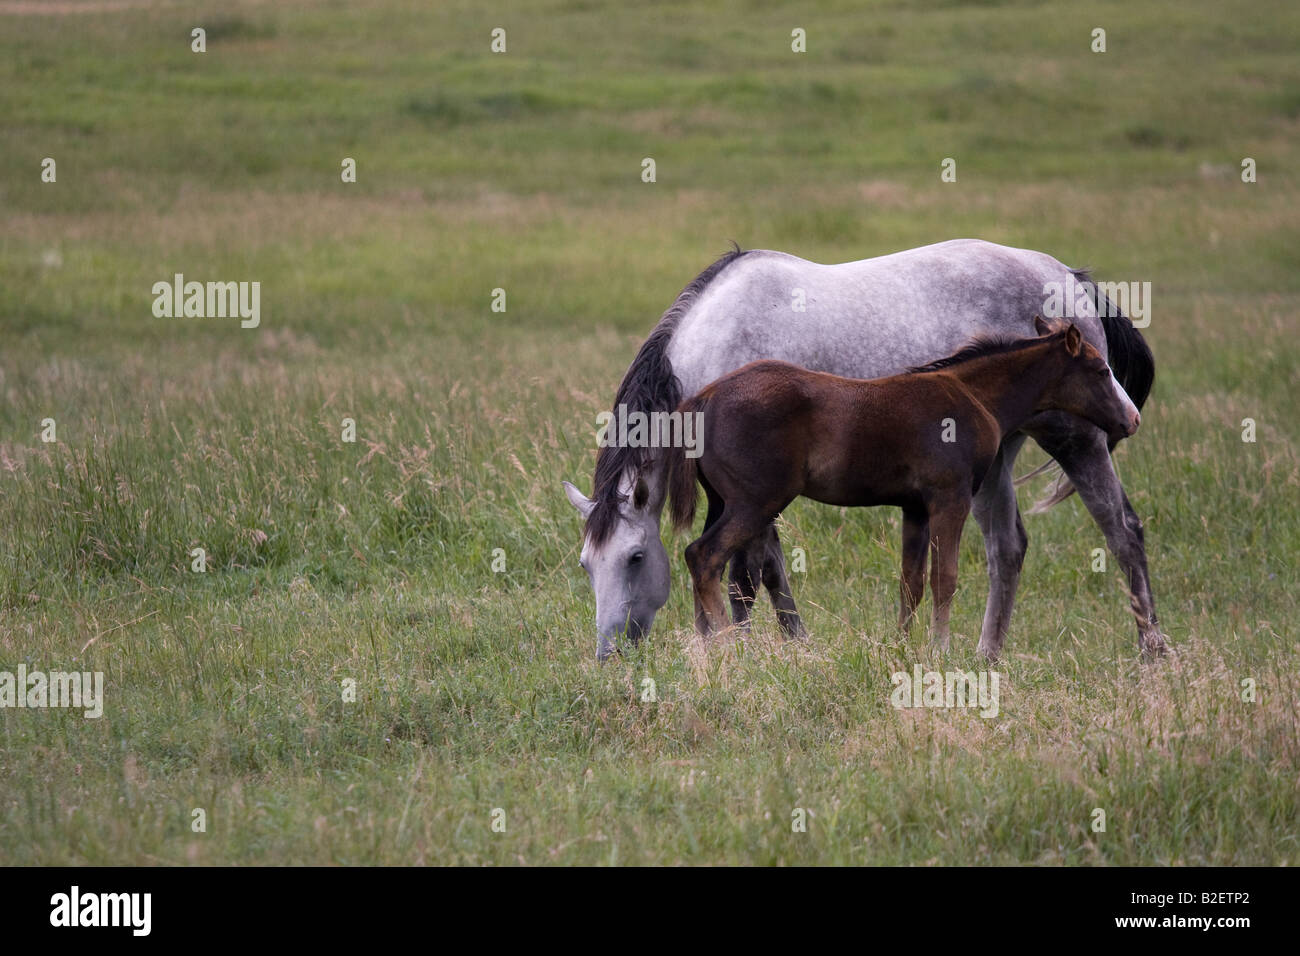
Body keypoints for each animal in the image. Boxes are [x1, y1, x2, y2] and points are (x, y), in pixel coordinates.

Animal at [663, 319, 1141, 654]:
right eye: (1101, 370)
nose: (1132, 420)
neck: (973, 396)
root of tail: (703, 398)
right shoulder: (950, 498)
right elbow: (944, 578)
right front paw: (940, 650)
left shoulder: (915, 508)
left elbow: (910, 583)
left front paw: (901, 648)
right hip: (757, 502)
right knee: (704, 556)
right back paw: (726, 648)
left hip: (722, 502)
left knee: (704, 564)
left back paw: (706, 653)